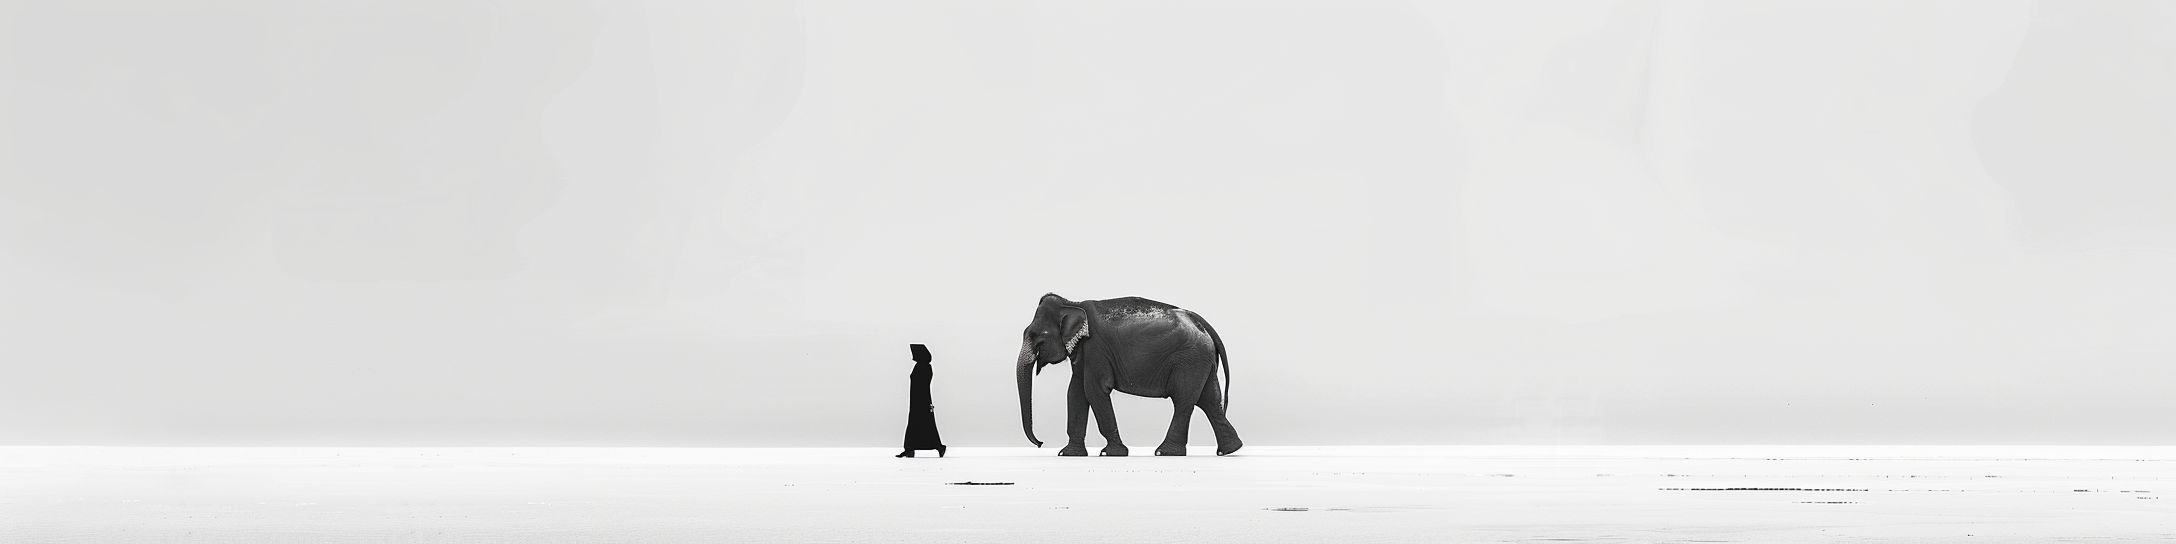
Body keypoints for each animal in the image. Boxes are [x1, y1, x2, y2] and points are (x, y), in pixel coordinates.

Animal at [1015, 293, 1241, 456]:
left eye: (1038, 337)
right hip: (1201, 361)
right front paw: (1067, 455)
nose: (1041, 443)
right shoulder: (1084, 353)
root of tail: (1202, 323)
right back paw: (1229, 450)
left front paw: (1110, 454)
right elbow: (1075, 393)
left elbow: (1094, 391)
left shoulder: (1096, 350)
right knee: (1209, 401)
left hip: (1189, 361)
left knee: (1184, 401)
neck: (1072, 303)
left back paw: (1164, 452)